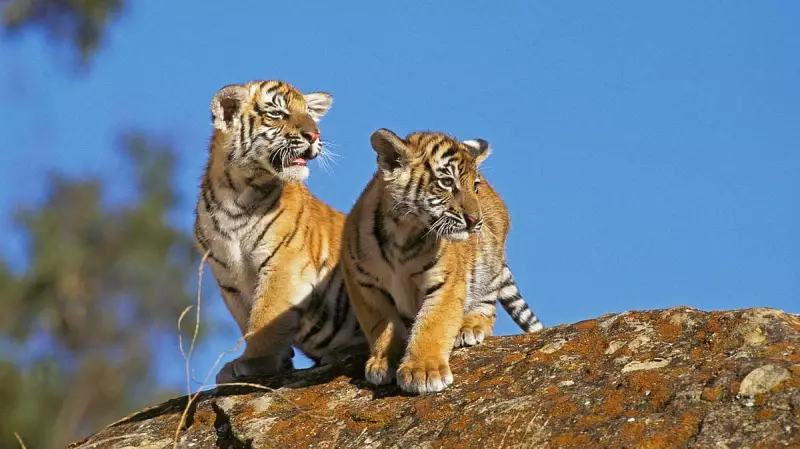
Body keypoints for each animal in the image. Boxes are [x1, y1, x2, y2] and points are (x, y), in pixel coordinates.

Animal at [194, 80, 366, 384]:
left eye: (309, 113)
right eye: (278, 114)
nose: (314, 134)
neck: (235, 194)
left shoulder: (283, 263)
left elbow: (266, 316)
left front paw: (254, 361)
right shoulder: (229, 280)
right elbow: (248, 319)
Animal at [341, 128, 544, 394]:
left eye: (474, 186)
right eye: (446, 182)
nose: (475, 221)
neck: (403, 231)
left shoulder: (446, 282)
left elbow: (433, 324)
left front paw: (424, 372)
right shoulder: (362, 282)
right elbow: (381, 323)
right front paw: (384, 362)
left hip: (488, 266)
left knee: (488, 307)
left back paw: (469, 327)